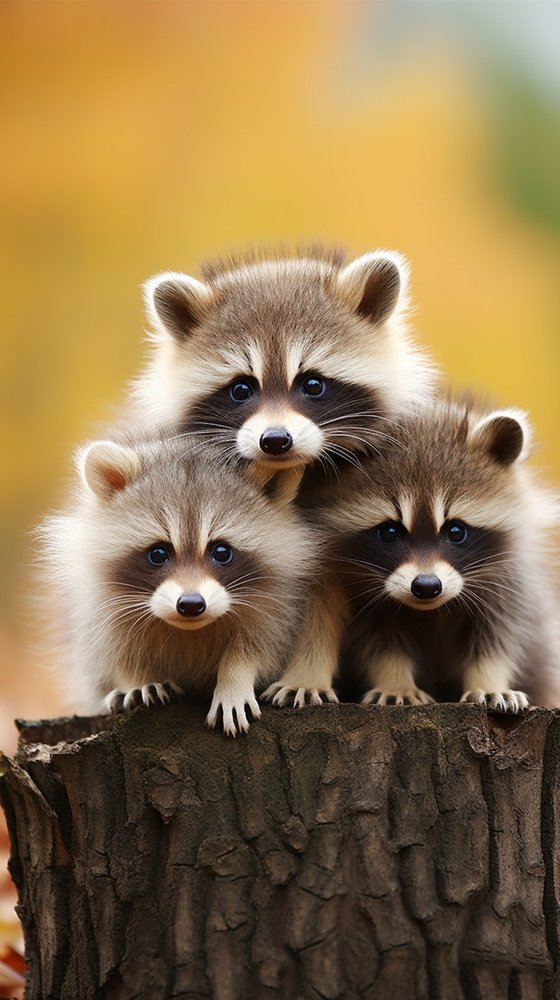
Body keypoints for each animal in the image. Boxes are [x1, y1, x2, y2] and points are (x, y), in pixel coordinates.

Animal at [38, 433, 318, 734]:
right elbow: (113, 653)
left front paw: (234, 680)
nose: (191, 605)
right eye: (158, 553)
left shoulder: (277, 603)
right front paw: (136, 679)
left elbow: (259, 647)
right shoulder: (99, 606)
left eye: (222, 552)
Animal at [317, 399, 560, 710]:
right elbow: (380, 644)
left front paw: (489, 682)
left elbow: (498, 638)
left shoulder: (508, 581)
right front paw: (396, 682)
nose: (426, 586)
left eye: (455, 531)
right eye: (390, 532)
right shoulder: (362, 594)